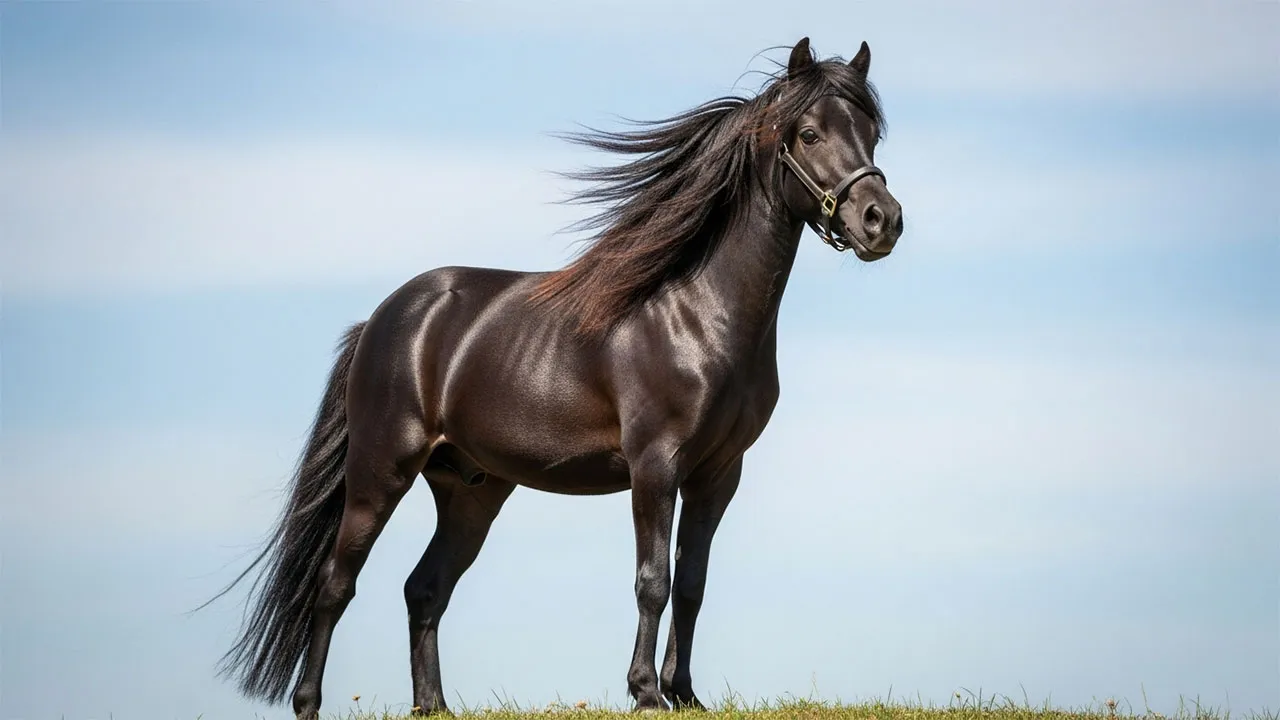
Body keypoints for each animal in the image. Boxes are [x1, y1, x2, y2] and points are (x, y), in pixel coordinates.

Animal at [206, 36, 904, 719]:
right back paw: (308, 703)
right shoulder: (655, 465)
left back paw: (434, 706)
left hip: (471, 491)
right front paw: (645, 693)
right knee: (335, 585)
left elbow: (692, 584)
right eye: (808, 133)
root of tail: (383, 320)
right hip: (380, 472)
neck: (698, 311)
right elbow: (653, 581)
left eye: (871, 132)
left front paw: (685, 694)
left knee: (424, 589)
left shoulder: (717, 473)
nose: (882, 220)